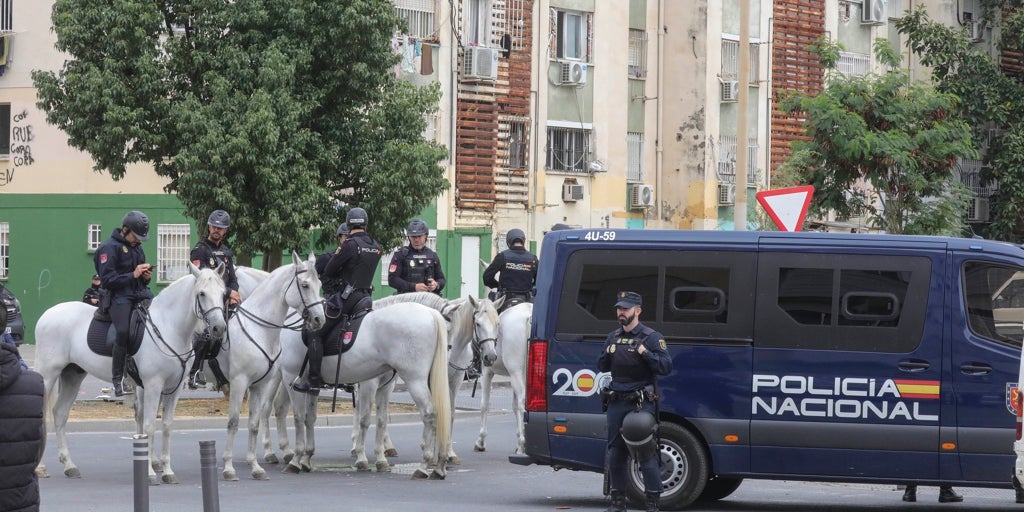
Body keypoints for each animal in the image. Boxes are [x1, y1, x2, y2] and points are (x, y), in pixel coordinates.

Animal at [216, 251, 323, 479]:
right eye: (305, 285)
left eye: (319, 283)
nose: (320, 319)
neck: (257, 328)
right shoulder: (239, 382)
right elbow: (233, 422)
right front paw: (229, 467)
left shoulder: (259, 384)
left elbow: (254, 423)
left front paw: (255, 466)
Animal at [280, 299, 456, 479]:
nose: (449, 352)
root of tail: (430, 313)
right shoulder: (380, 387)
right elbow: (311, 418)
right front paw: (306, 459)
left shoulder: (291, 378)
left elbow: (300, 418)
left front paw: (296, 461)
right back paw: (439, 465)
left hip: (415, 380)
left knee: (429, 414)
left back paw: (424, 465)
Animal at [348, 294, 499, 468]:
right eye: (478, 324)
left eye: (497, 324)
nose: (490, 356)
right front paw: (432, 453)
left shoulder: (454, 383)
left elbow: (450, 414)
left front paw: (448, 453)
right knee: (360, 408)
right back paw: (358, 446)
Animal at [475, 301, 532, 454]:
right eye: (478, 324)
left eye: (497, 324)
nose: (490, 356)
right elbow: (514, 406)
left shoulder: (486, 373)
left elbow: (484, 404)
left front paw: (481, 440)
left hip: (515, 372)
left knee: (522, 401)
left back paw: (523, 444)